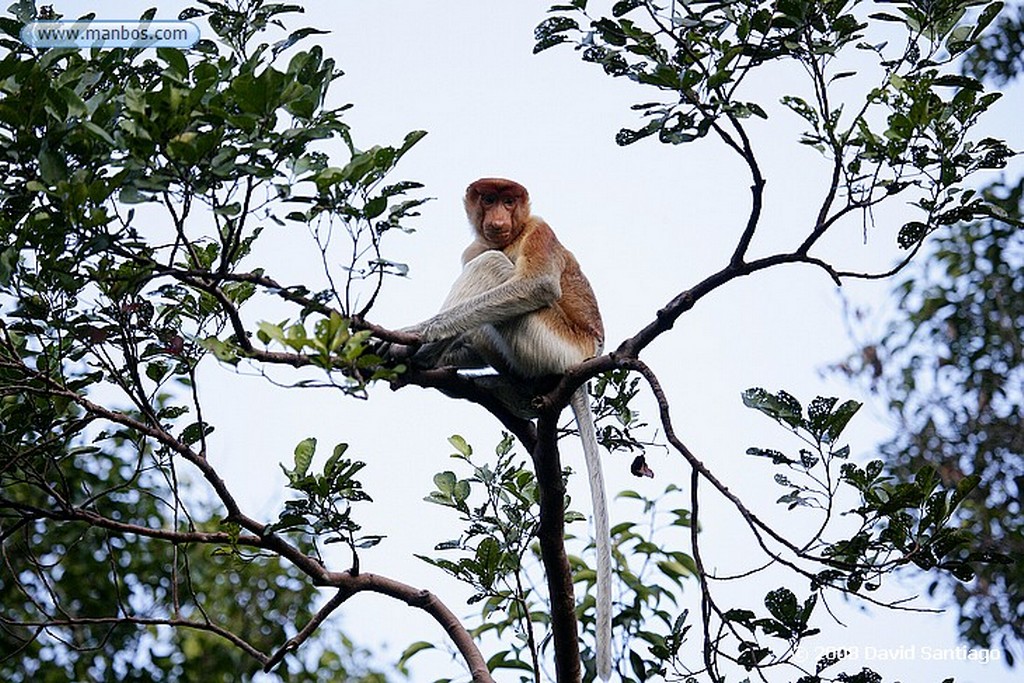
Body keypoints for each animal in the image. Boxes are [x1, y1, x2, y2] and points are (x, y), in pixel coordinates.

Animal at [397, 179, 606, 679]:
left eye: (510, 200)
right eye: (488, 200)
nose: (498, 218)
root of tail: (587, 357)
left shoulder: (539, 231)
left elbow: (536, 284)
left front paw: (412, 335)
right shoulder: (473, 243)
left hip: (554, 343)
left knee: (495, 268)